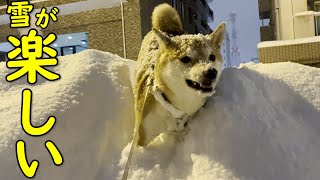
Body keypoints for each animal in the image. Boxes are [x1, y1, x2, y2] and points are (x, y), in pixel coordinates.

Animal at [132, 3, 225, 146]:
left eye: (212, 57)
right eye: (185, 58)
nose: (211, 72)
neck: (176, 109)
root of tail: (167, 29)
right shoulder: (142, 137)